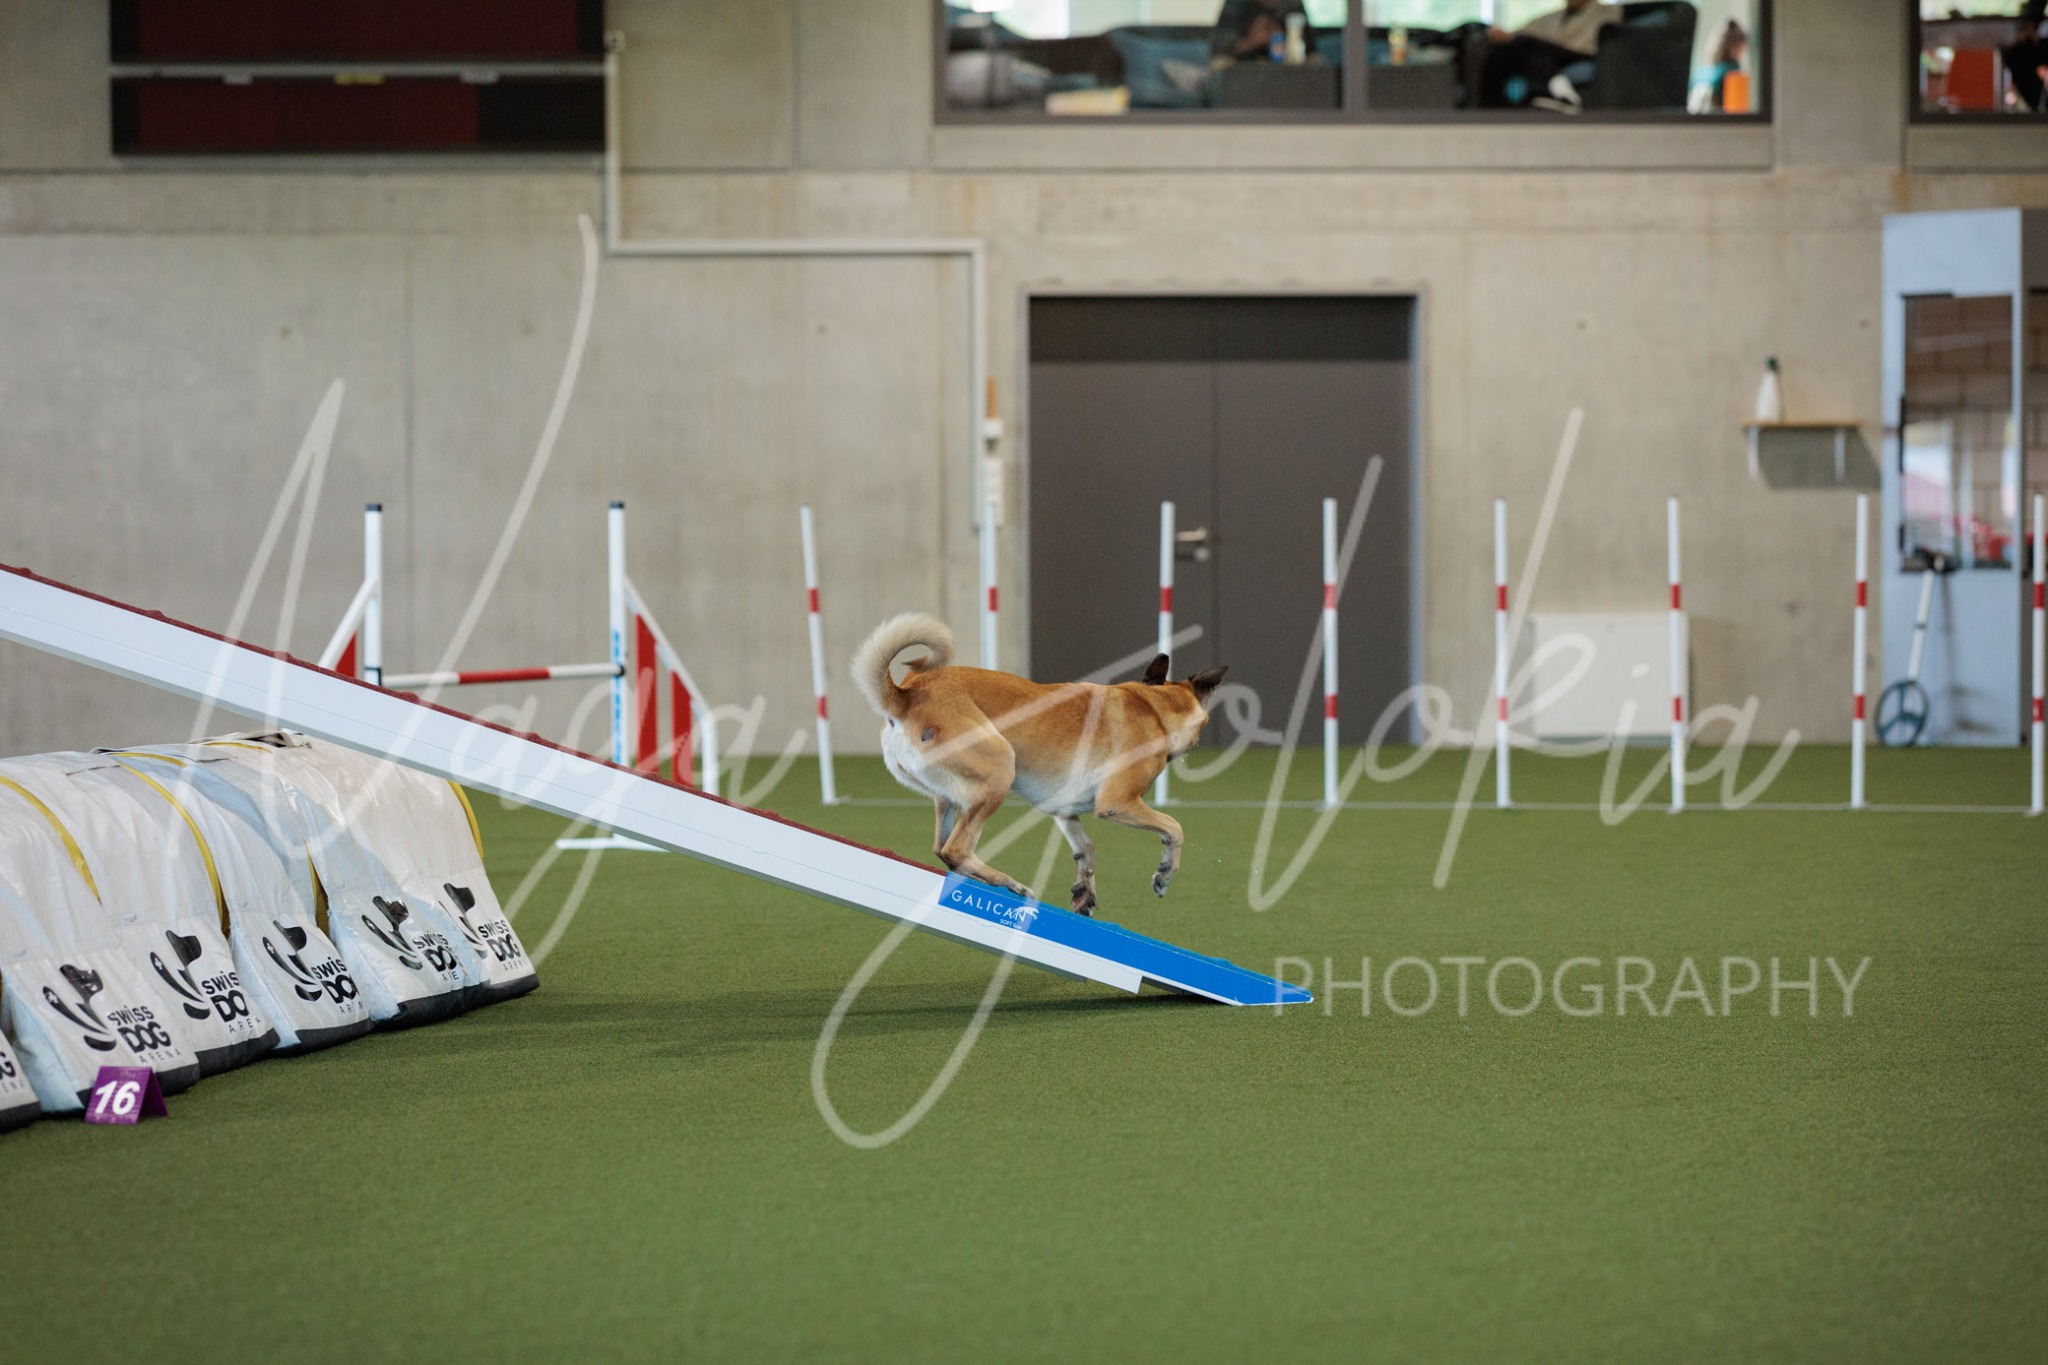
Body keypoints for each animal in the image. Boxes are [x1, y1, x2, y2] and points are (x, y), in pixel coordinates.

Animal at [852, 612, 1225, 916]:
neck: (1154, 706)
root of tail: (907, 694)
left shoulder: (1063, 809)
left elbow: (1086, 850)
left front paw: (1084, 893)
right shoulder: (1117, 803)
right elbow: (1174, 828)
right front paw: (1165, 874)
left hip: (948, 797)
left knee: (941, 849)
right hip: (1000, 771)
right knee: (956, 849)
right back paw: (1011, 884)